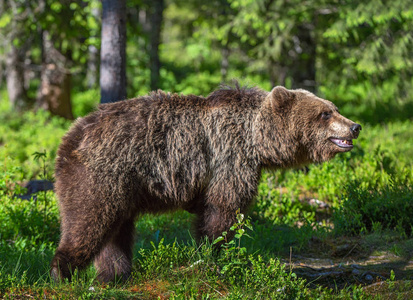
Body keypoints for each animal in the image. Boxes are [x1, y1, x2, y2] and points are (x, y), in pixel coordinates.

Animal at [50, 85, 360, 282]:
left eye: (334, 108)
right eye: (325, 113)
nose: (355, 126)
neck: (258, 140)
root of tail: (70, 137)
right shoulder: (230, 159)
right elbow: (221, 212)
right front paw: (213, 256)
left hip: (122, 188)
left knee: (115, 233)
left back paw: (113, 275)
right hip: (103, 175)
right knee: (89, 221)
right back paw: (61, 272)